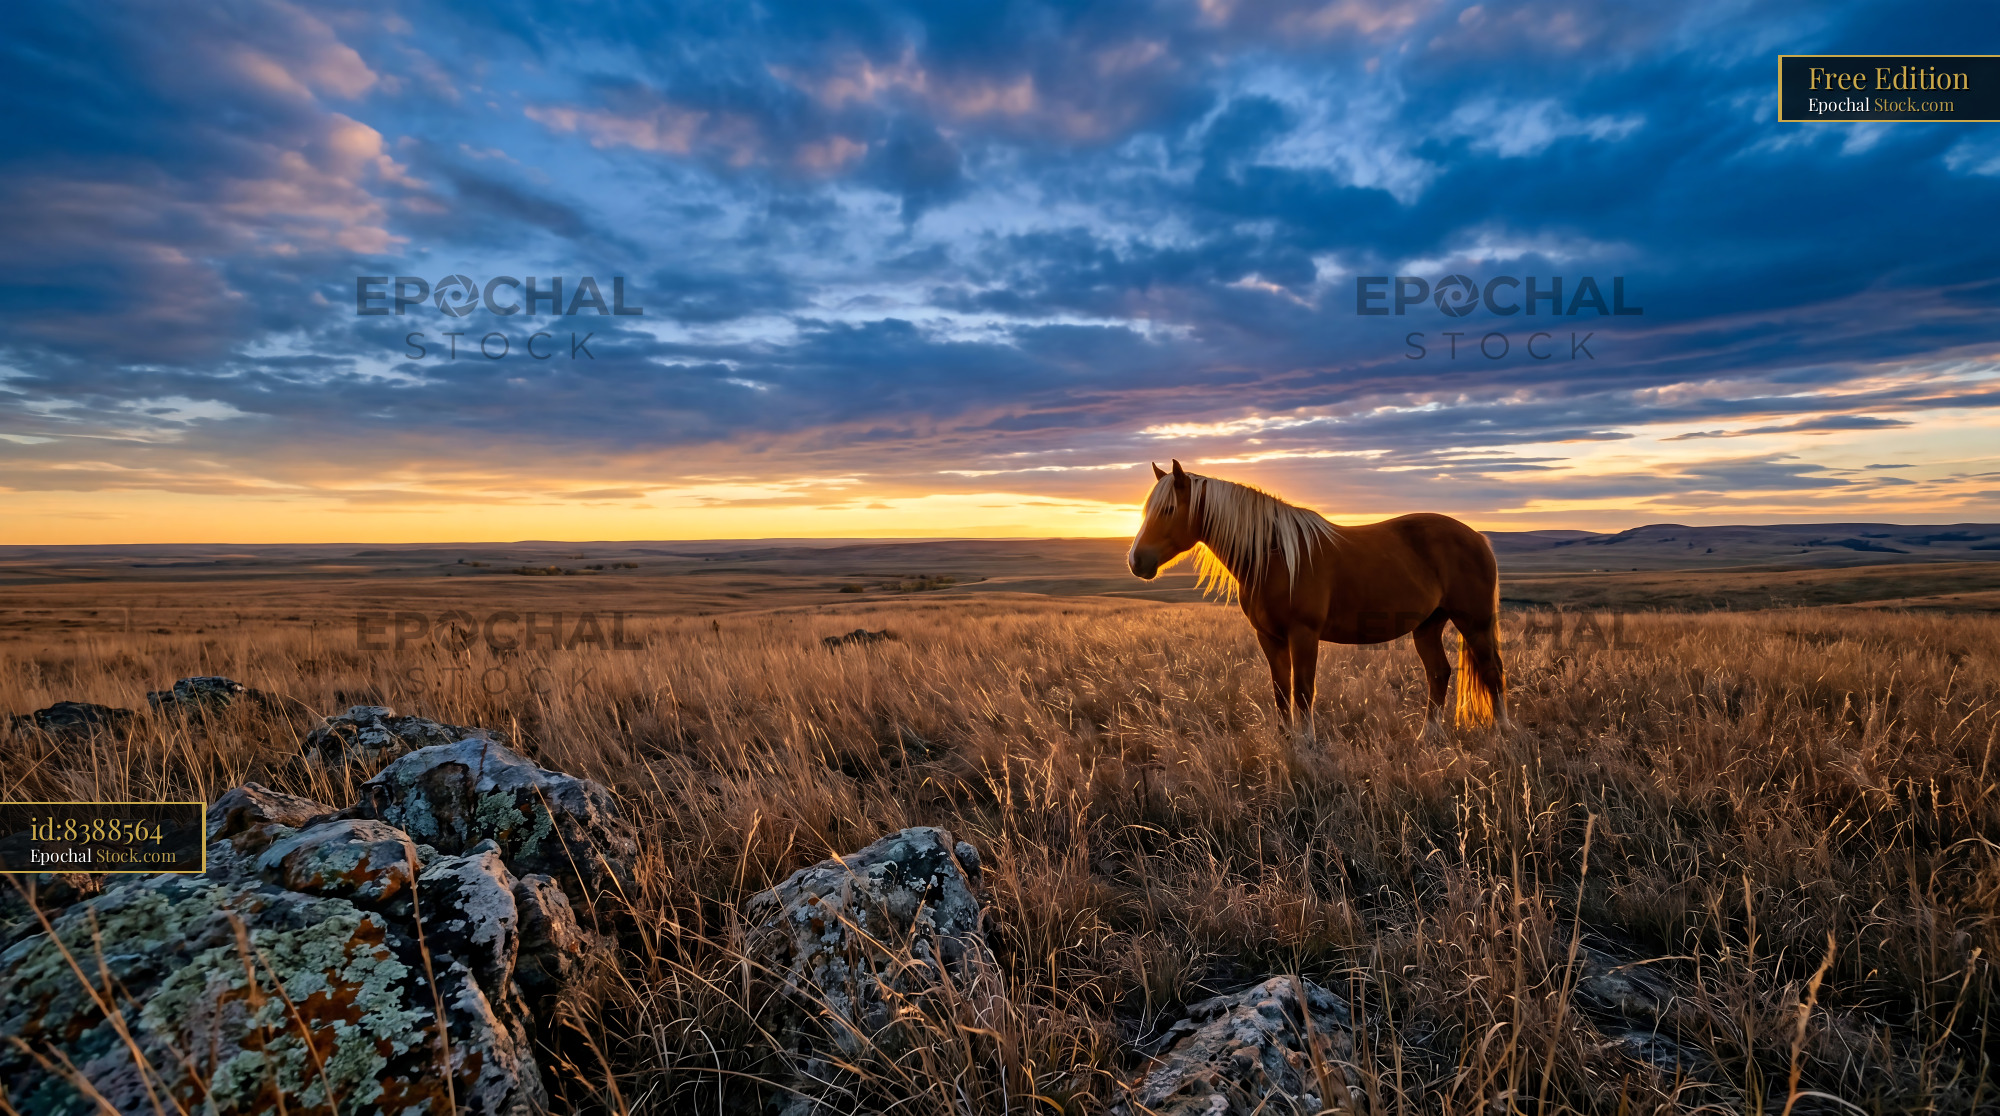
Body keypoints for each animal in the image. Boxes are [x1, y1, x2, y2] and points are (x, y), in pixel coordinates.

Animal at [1126, 460, 1506, 738]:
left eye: (1169, 510)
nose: (1136, 561)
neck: (1274, 556)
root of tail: (1477, 537)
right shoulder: (1270, 637)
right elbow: (1281, 692)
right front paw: (1286, 744)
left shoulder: (1303, 634)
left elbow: (1303, 692)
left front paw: (1307, 746)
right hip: (1428, 624)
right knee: (1439, 673)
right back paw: (1427, 737)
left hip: (1474, 622)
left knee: (1492, 672)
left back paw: (1503, 733)